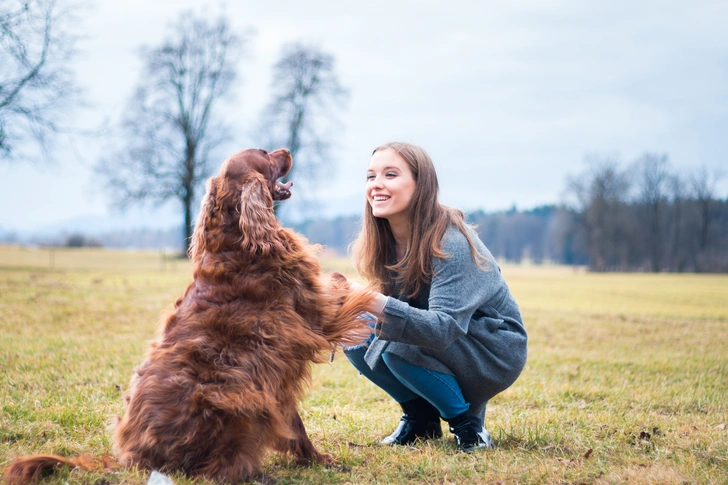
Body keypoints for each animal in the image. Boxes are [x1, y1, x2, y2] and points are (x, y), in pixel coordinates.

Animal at [7, 149, 376, 482]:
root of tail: (132, 460)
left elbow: (295, 424)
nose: (285, 150)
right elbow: (345, 291)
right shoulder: (317, 313)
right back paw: (252, 474)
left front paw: (316, 459)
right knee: (216, 469)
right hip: (237, 401)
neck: (236, 239)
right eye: (264, 154)